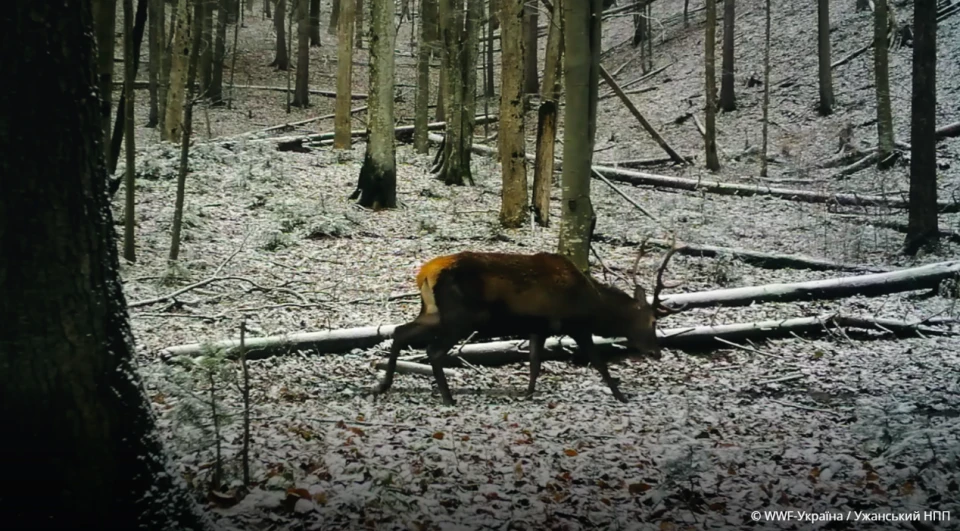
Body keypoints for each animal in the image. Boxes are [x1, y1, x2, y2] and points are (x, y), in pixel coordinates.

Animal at [371, 240, 683, 406]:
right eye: (651, 320)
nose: (656, 352)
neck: (593, 306)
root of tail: (425, 272)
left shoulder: (538, 328)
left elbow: (534, 361)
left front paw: (528, 393)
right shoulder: (576, 326)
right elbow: (599, 363)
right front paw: (621, 395)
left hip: (432, 313)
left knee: (399, 331)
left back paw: (383, 386)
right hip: (462, 317)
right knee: (433, 351)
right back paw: (448, 398)